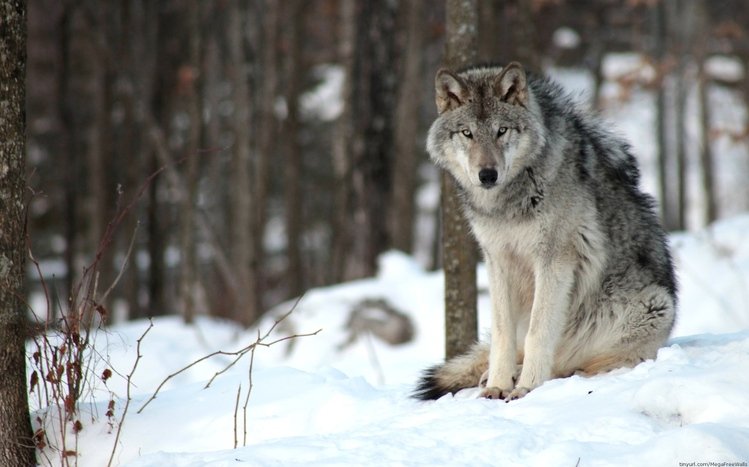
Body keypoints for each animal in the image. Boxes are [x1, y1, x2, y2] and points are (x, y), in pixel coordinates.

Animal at [414, 62, 677, 401]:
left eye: (501, 131)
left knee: (577, 364)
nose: (487, 175)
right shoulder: (497, 261)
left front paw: (526, 387)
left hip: (655, 305)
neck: (509, 204)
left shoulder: (554, 260)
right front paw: (498, 385)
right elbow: (502, 333)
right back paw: (493, 375)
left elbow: (538, 331)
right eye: (467, 133)